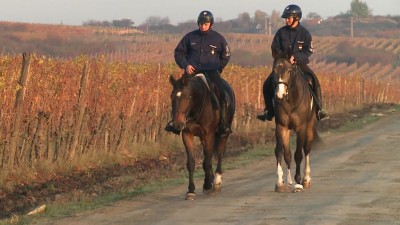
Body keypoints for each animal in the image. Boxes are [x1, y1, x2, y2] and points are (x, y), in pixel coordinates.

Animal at [270, 58, 318, 193]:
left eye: (289, 71)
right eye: (274, 71)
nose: (279, 95)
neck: (290, 100)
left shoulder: (301, 128)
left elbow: (298, 154)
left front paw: (298, 183)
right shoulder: (281, 127)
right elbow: (280, 152)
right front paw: (280, 182)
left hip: (309, 127)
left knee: (306, 149)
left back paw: (306, 179)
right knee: (287, 154)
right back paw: (288, 180)